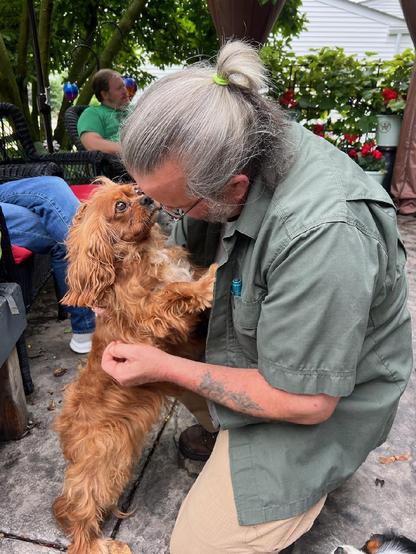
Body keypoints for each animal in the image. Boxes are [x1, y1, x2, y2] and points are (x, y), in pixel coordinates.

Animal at [53, 179, 216, 548]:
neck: (143, 252)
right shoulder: (151, 319)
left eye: (132, 190)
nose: (146, 198)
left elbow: (180, 281)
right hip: (108, 458)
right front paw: (209, 281)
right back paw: (101, 544)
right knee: (80, 515)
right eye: (120, 206)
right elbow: (175, 290)